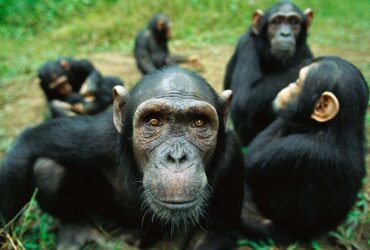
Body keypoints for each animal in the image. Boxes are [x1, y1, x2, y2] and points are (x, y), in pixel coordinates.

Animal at [0, 66, 246, 248]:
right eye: (154, 121)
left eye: (199, 122)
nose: (177, 157)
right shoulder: (94, 136)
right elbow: (29, 145)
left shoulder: (232, 157)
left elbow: (216, 233)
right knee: (47, 167)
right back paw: (76, 227)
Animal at [224, 1, 314, 146]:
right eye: (276, 22)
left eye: (294, 22)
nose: (285, 33)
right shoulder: (247, 46)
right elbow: (244, 99)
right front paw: (307, 64)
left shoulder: (306, 49)